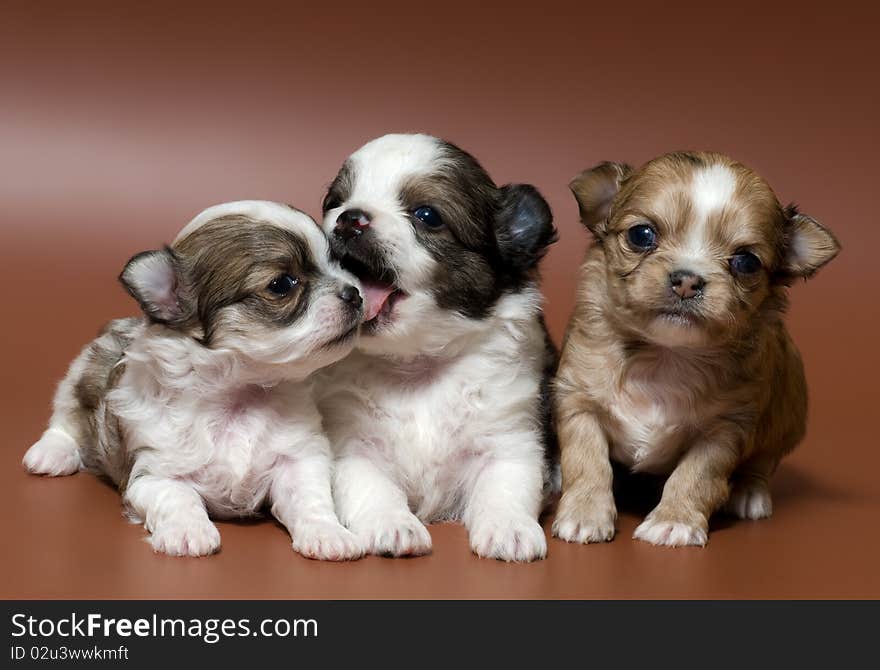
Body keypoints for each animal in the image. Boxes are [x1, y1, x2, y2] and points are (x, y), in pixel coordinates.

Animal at [22, 200, 364, 560]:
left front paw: (328, 534)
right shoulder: (153, 472)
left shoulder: (298, 459)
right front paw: (189, 532)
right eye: (282, 284)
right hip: (83, 373)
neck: (239, 395)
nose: (355, 294)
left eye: (338, 264)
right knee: (65, 419)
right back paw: (49, 454)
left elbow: (310, 498)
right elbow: (178, 497)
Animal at [314, 133, 556, 560]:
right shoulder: (353, 444)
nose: (349, 217)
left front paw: (509, 528)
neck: (417, 364)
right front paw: (393, 524)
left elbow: (506, 485)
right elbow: (372, 486)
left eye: (427, 215)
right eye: (335, 202)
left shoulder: (511, 437)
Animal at [556, 155, 840, 548]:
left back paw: (749, 494)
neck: (665, 354)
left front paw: (673, 521)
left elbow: (695, 476)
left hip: (785, 414)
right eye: (641, 235)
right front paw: (584, 513)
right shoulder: (579, 401)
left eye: (746, 262)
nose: (687, 280)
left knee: (761, 464)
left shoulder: (724, 430)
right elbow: (587, 461)